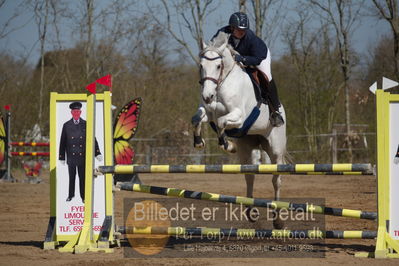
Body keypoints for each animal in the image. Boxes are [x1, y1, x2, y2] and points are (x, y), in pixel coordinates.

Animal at [193, 32, 290, 229]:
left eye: (218, 65)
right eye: (201, 66)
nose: (207, 96)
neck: (222, 84)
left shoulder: (239, 116)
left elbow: (221, 122)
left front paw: (226, 144)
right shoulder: (208, 113)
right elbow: (198, 118)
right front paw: (199, 142)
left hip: (275, 148)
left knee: (276, 179)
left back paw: (278, 220)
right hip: (248, 147)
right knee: (250, 176)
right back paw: (251, 213)